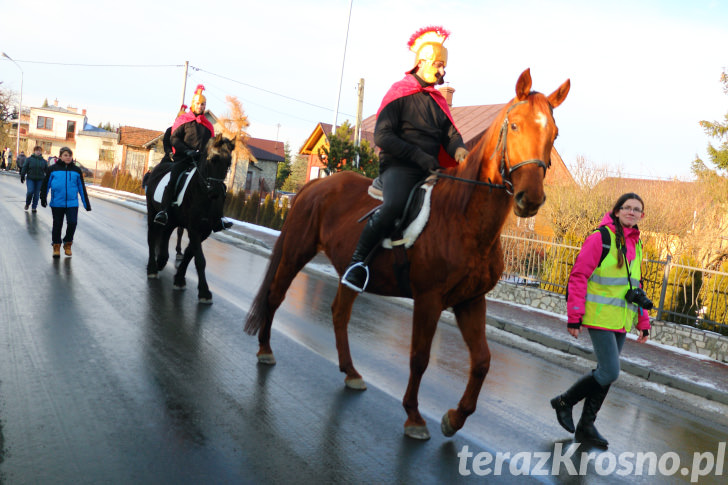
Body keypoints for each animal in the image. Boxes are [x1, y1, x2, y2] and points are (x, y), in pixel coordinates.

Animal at [143, 130, 232, 300]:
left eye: (229, 163)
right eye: (213, 159)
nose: (216, 192)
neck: (203, 193)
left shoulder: (204, 230)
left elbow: (190, 254)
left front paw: (179, 279)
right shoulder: (194, 229)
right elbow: (200, 260)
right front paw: (204, 291)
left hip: (171, 220)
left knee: (165, 236)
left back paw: (162, 260)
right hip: (152, 212)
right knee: (151, 238)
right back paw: (152, 268)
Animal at [243, 69, 568, 438]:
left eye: (554, 133)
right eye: (514, 126)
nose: (531, 198)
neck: (463, 218)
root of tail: (316, 185)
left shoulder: (471, 301)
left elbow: (483, 361)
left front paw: (455, 418)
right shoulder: (429, 299)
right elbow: (419, 357)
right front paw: (414, 416)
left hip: (349, 271)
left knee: (340, 313)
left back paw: (351, 372)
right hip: (297, 251)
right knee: (275, 295)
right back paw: (266, 350)